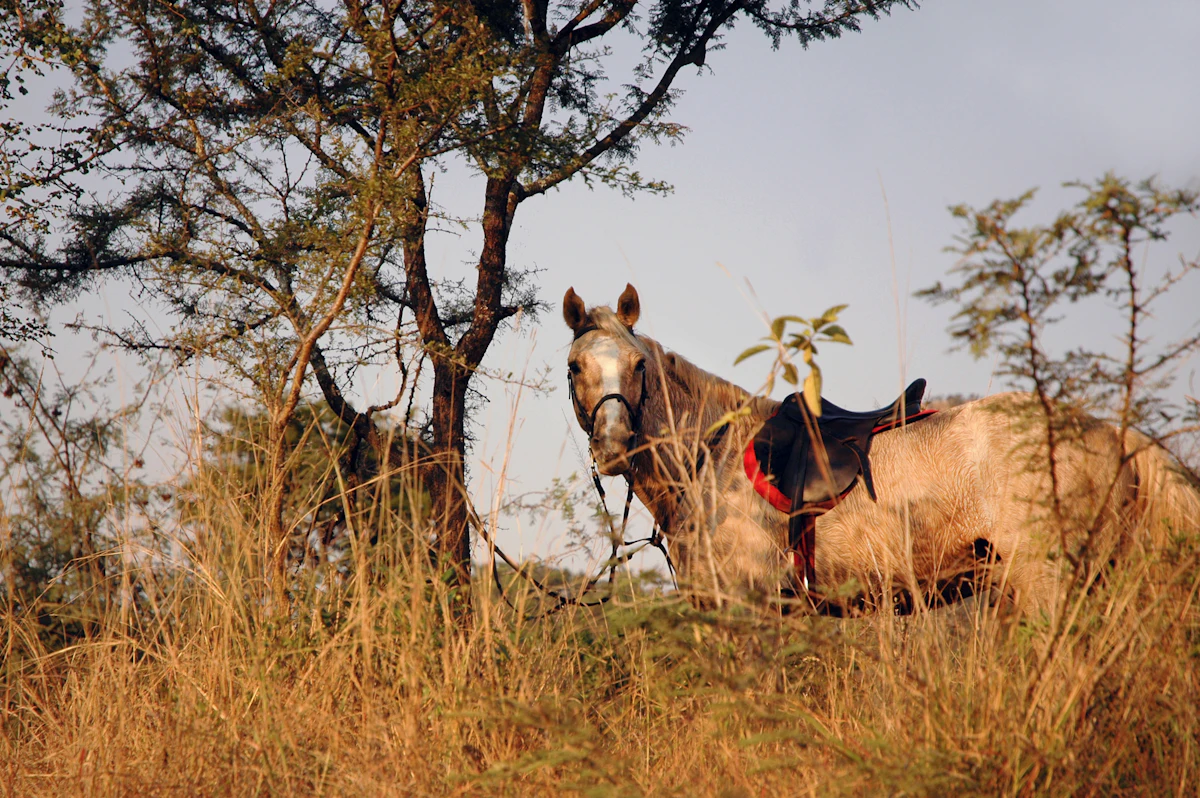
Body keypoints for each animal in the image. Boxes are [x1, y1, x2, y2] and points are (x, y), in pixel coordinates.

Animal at [563, 283, 1200, 615]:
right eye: (575, 366)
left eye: (638, 365)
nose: (614, 446)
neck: (710, 456)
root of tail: (1111, 432)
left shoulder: (750, 604)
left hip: (1051, 583)